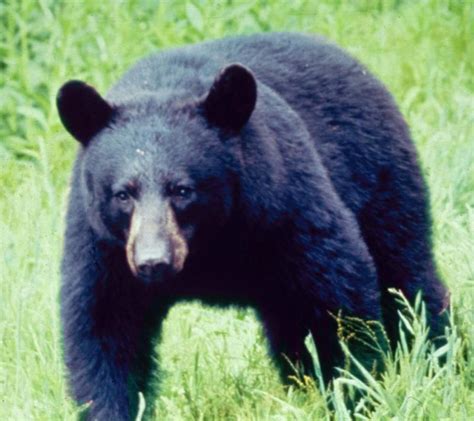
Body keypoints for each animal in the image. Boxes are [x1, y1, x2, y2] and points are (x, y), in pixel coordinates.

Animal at [55, 32, 448, 416]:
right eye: (123, 194)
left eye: (182, 190)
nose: (153, 262)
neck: (208, 248)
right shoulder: (103, 246)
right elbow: (105, 328)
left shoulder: (283, 208)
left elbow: (338, 295)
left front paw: (355, 392)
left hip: (381, 182)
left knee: (406, 278)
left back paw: (437, 357)